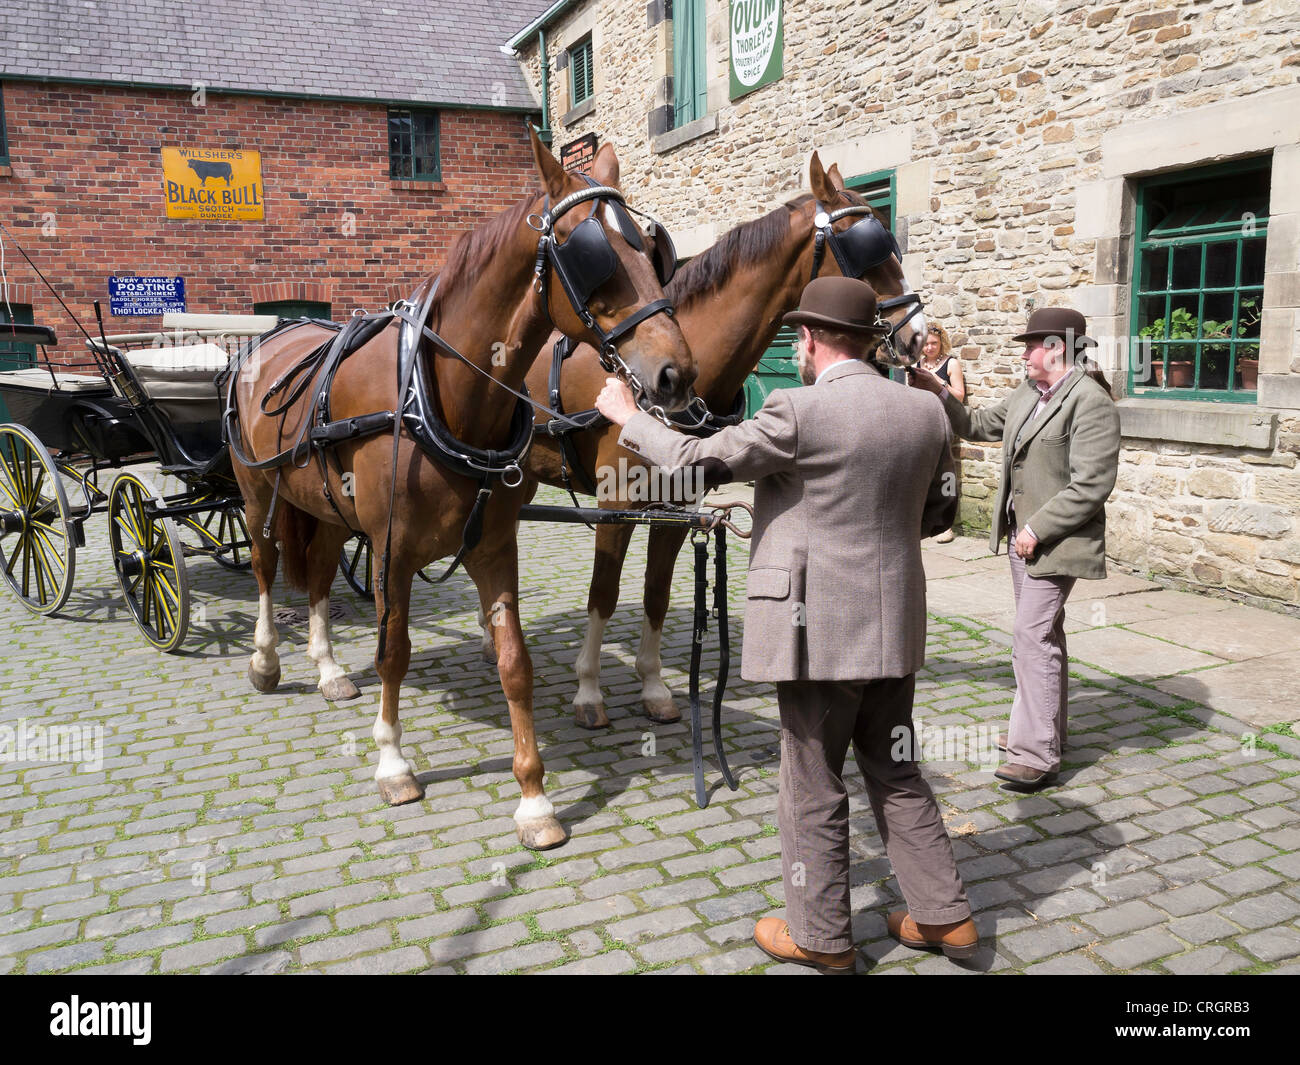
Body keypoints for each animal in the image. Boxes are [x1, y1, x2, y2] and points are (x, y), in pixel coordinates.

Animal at [228, 133, 696, 847]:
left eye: (649, 250)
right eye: (592, 257)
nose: (677, 374)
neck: (441, 395)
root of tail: (270, 340)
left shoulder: (495, 545)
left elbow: (514, 662)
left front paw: (534, 799)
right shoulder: (391, 549)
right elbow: (393, 653)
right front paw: (393, 761)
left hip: (330, 508)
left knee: (317, 576)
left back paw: (329, 669)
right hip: (257, 495)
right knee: (263, 565)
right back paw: (265, 661)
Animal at [504, 152, 925, 733]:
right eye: (868, 251)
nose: (919, 336)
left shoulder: (678, 507)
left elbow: (656, 593)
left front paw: (654, 687)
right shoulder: (617, 504)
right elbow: (604, 595)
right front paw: (588, 691)